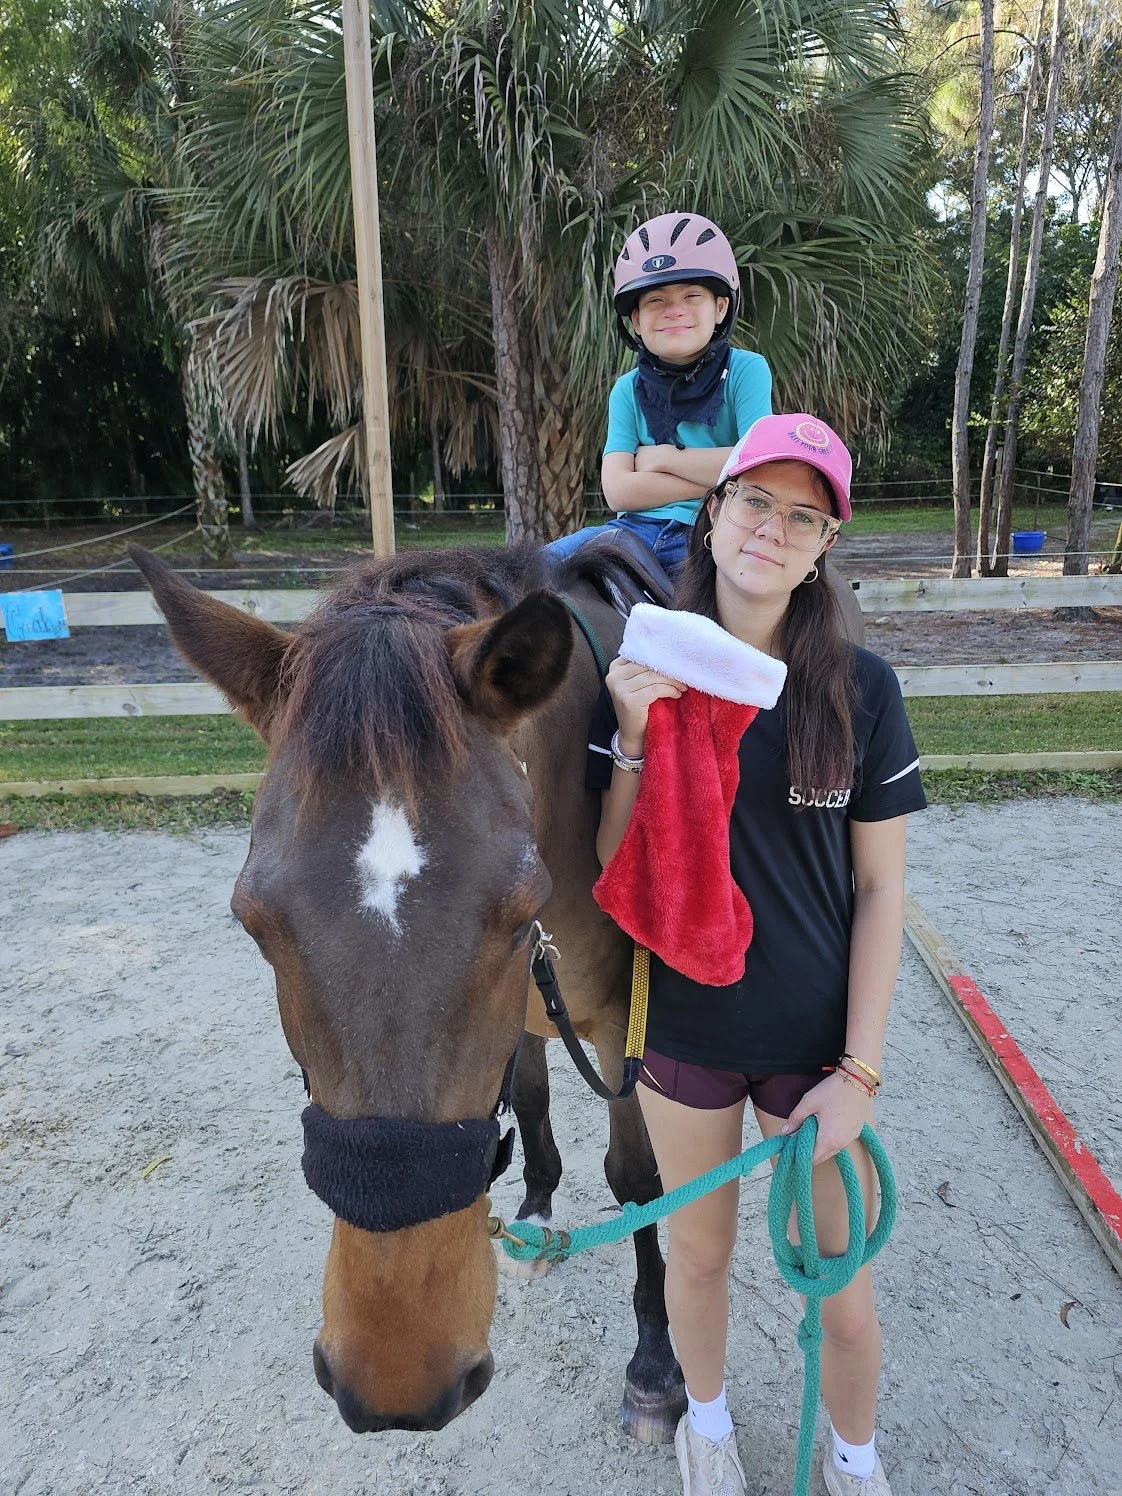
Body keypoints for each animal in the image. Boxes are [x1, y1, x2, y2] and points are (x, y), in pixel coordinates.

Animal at [129, 538, 864, 1444]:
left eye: (519, 911)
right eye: (253, 922)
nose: (397, 1377)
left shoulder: (626, 1030)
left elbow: (637, 1177)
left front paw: (656, 1369)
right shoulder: (521, 1016)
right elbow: (531, 1096)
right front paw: (538, 1204)